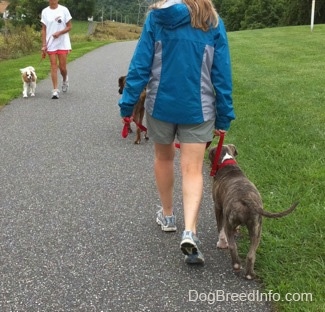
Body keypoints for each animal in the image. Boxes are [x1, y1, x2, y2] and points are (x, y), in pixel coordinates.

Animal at [209, 144, 298, 280]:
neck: (227, 161)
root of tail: (245, 198)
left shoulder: (218, 207)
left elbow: (220, 228)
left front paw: (221, 243)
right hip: (257, 227)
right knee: (251, 254)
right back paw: (250, 274)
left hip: (231, 223)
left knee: (233, 246)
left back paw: (236, 265)